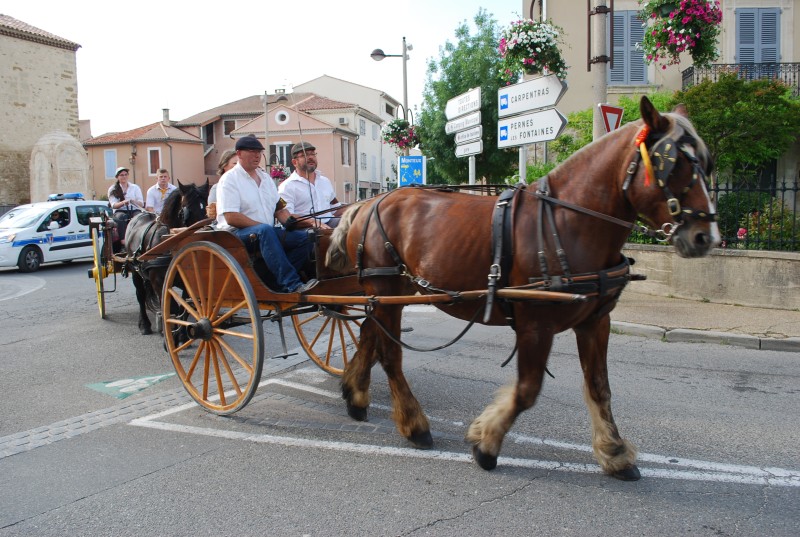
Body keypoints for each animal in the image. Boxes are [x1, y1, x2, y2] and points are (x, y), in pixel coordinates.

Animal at [324, 97, 720, 482]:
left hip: (390, 293)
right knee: (390, 354)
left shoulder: (595, 322)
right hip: (386, 289)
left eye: (706, 164)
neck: (569, 221)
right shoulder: (535, 324)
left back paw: (355, 395)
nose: (706, 237)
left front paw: (615, 452)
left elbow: (599, 387)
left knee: (368, 334)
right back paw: (413, 424)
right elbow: (528, 390)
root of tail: (367, 203)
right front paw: (486, 443)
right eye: (672, 164)